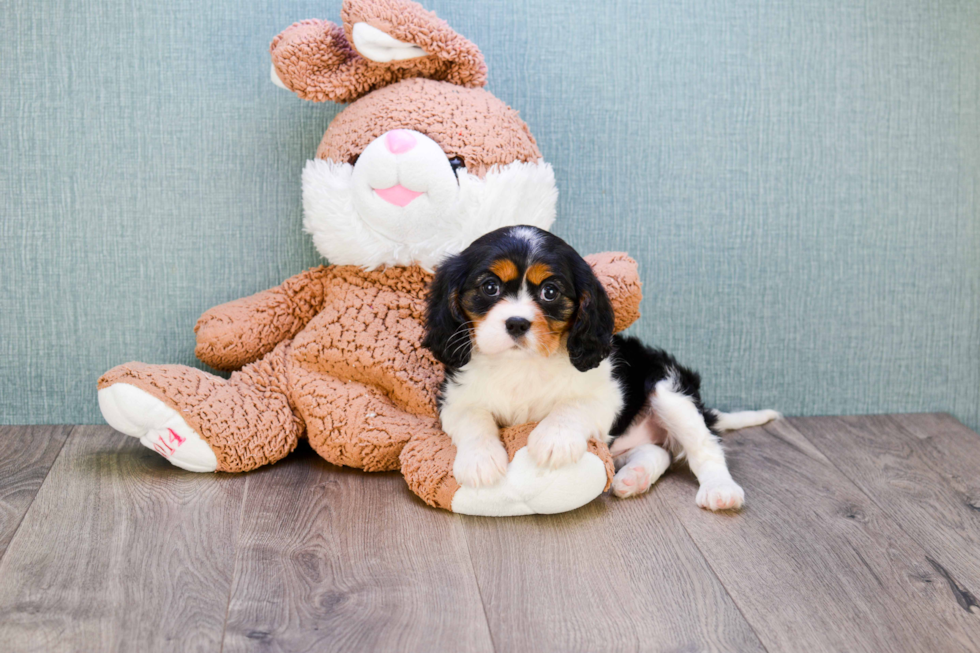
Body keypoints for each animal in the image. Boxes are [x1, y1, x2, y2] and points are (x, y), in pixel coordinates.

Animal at [424, 224, 776, 510]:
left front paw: (553, 439)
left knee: (705, 446)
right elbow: (474, 419)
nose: (517, 323)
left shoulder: (607, 392)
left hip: (669, 389)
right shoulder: (456, 398)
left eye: (550, 292)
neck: (522, 364)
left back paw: (721, 490)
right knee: (657, 452)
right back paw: (634, 477)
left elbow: (573, 406)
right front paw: (480, 461)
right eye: (489, 287)